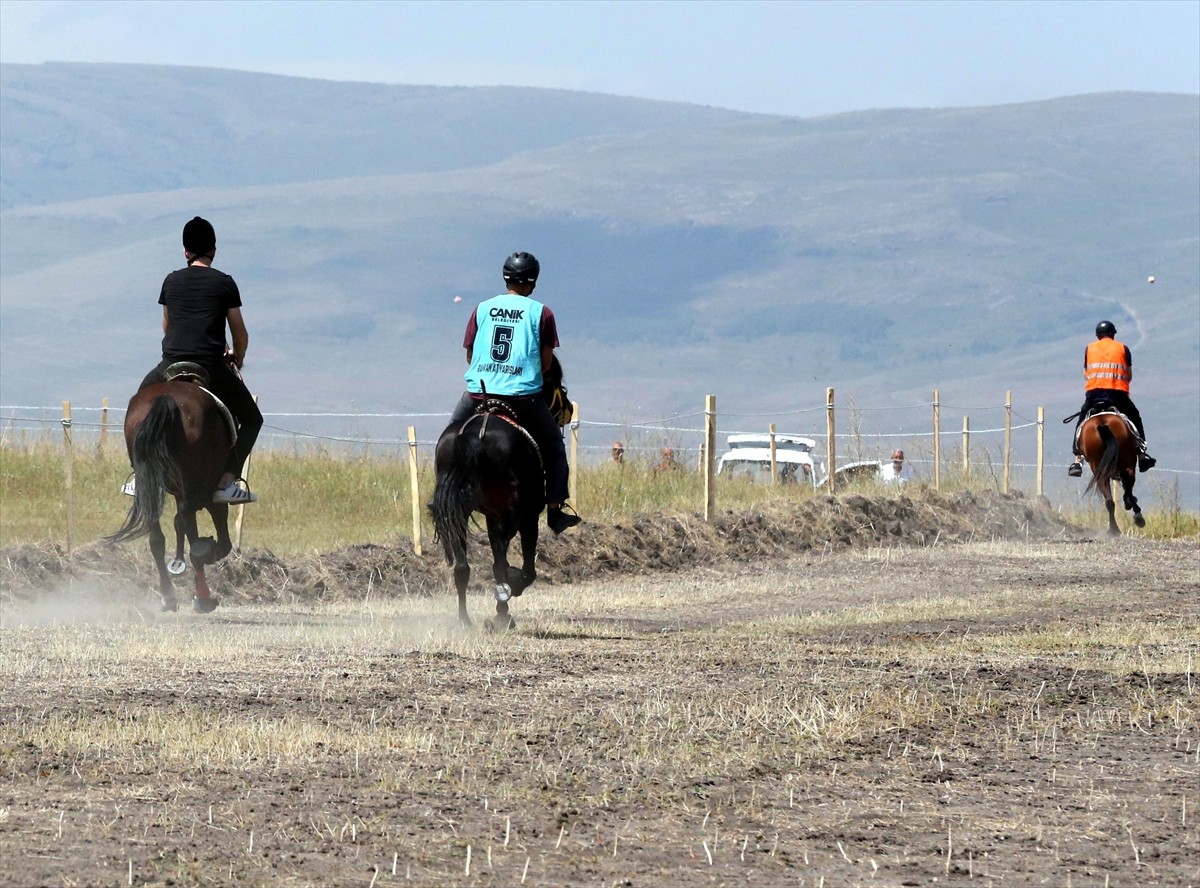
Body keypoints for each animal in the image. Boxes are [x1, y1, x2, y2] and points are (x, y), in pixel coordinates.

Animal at [105, 374, 234, 609]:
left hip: (151, 487)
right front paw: (210, 552)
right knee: (189, 526)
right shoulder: (211, 493)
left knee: (157, 538)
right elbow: (221, 539)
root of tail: (165, 399)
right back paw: (203, 596)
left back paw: (169, 594)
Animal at [429, 357, 568, 628]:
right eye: (556, 380)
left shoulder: (492, 516)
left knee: (462, 568)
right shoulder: (527, 517)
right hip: (513, 514)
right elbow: (526, 569)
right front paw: (512, 589)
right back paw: (503, 606)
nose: (567, 409)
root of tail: (475, 434)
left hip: (459, 512)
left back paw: (465, 620)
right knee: (501, 563)